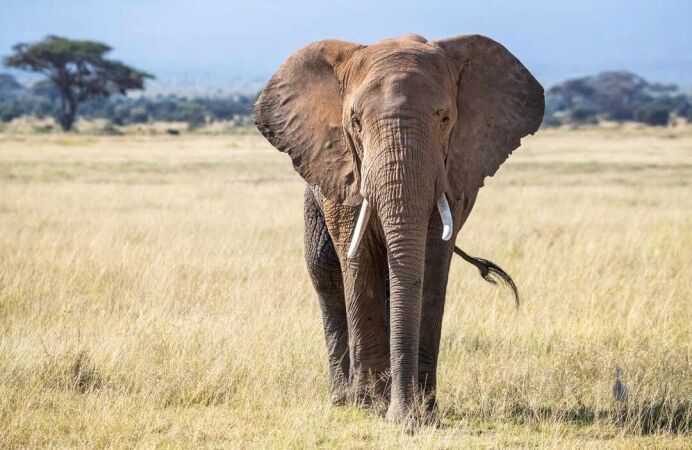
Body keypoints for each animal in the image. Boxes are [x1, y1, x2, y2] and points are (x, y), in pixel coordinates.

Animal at [254, 33, 544, 423]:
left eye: (445, 118)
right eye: (355, 121)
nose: (405, 419)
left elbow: (432, 263)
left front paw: (423, 412)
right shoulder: (345, 168)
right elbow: (358, 259)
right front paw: (372, 407)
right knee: (325, 272)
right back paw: (344, 399)